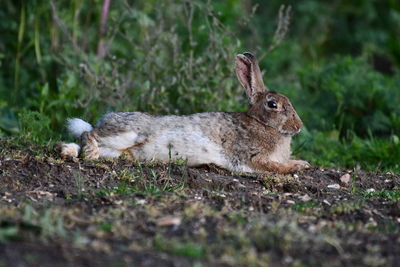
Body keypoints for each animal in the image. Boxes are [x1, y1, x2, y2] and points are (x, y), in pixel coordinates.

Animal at [58, 52, 310, 175]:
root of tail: (104, 120)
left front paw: (302, 162)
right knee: (89, 135)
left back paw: (68, 151)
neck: (262, 124)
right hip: (127, 132)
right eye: (273, 104)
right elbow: (273, 167)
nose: (298, 126)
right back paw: (87, 151)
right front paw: (298, 167)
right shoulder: (251, 157)